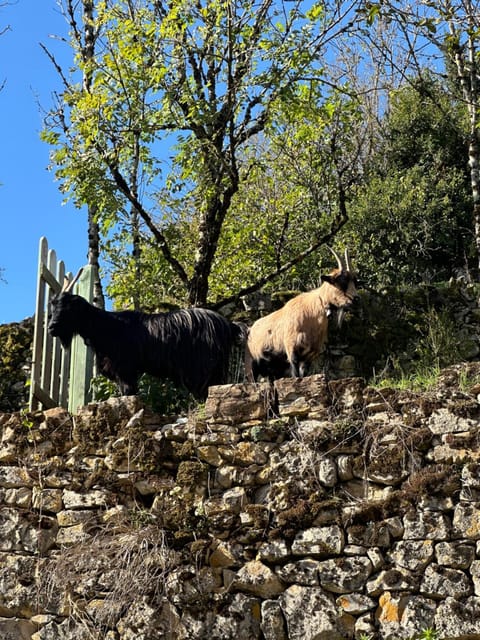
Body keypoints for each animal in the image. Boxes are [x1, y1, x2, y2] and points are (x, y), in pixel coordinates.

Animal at [48, 276, 246, 400]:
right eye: (53, 306)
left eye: (68, 307)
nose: (51, 328)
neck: (107, 327)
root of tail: (227, 324)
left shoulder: (125, 369)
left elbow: (129, 392)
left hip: (204, 367)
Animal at [248, 248, 356, 380]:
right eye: (340, 281)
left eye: (355, 281)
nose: (356, 299)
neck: (311, 311)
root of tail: (251, 329)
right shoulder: (291, 348)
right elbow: (296, 374)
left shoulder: (310, 355)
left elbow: (304, 373)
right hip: (254, 364)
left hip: (274, 367)